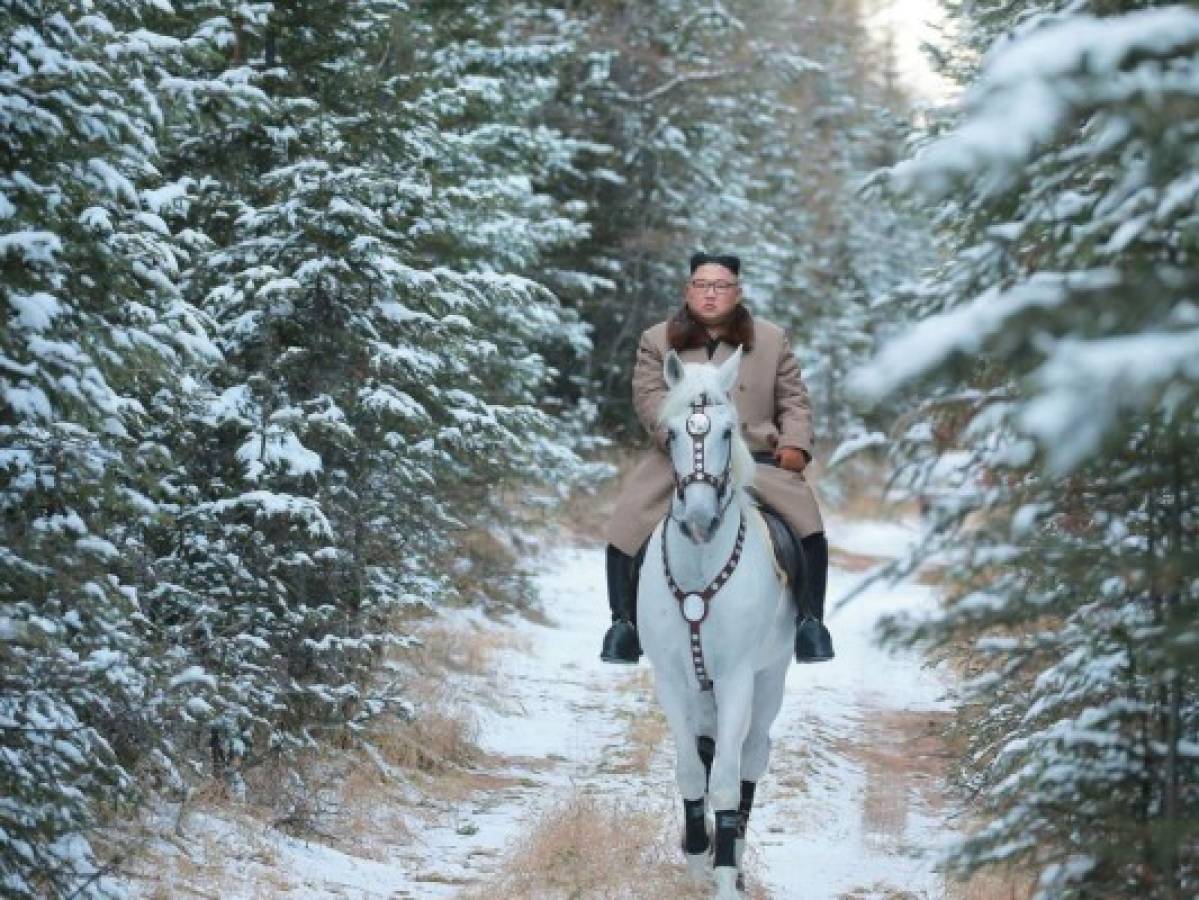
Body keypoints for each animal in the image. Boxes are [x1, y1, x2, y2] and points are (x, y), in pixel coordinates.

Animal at [637, 347, 796, 900]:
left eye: (728, 432)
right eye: (671, 435)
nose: (700, 519)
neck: (701, 567)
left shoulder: (737, 679)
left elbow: (726, 779)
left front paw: (725, 876)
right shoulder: (671, 678)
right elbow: (691, 771)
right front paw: (696, 858)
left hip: (769, 680)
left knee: (750, 758)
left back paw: (737, 856)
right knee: (706, 753)